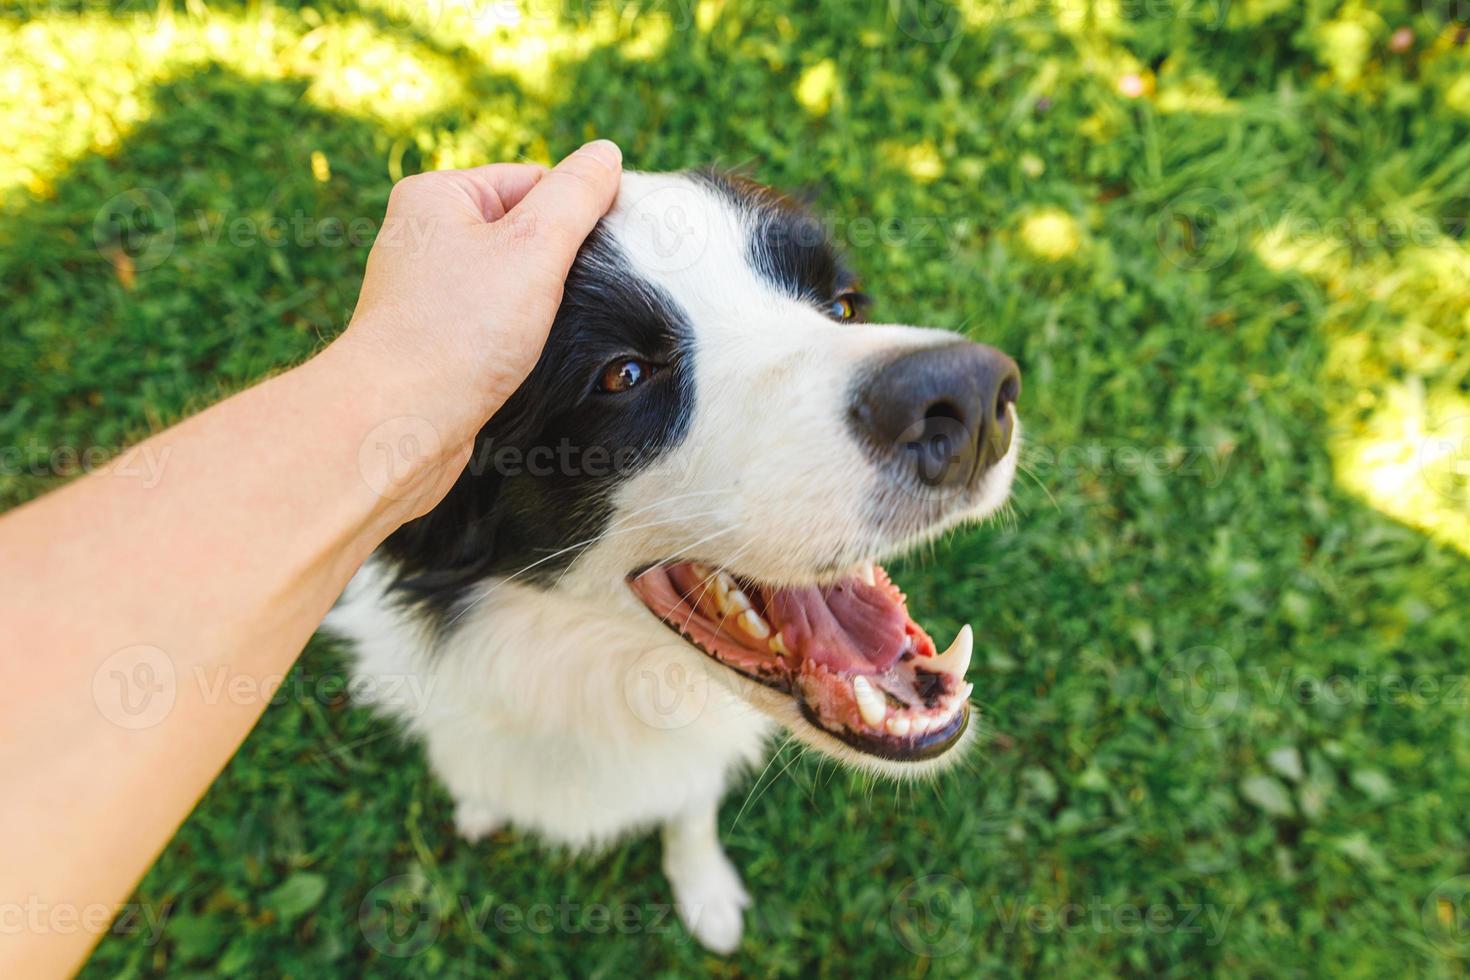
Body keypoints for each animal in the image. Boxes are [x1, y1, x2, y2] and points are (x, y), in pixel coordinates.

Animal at [324, 168, 1023, 952]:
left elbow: (689, 814)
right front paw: (480, 803)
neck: (594, 677)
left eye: (841, 305)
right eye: (623, 374)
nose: (970, 396)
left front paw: (705, 890)